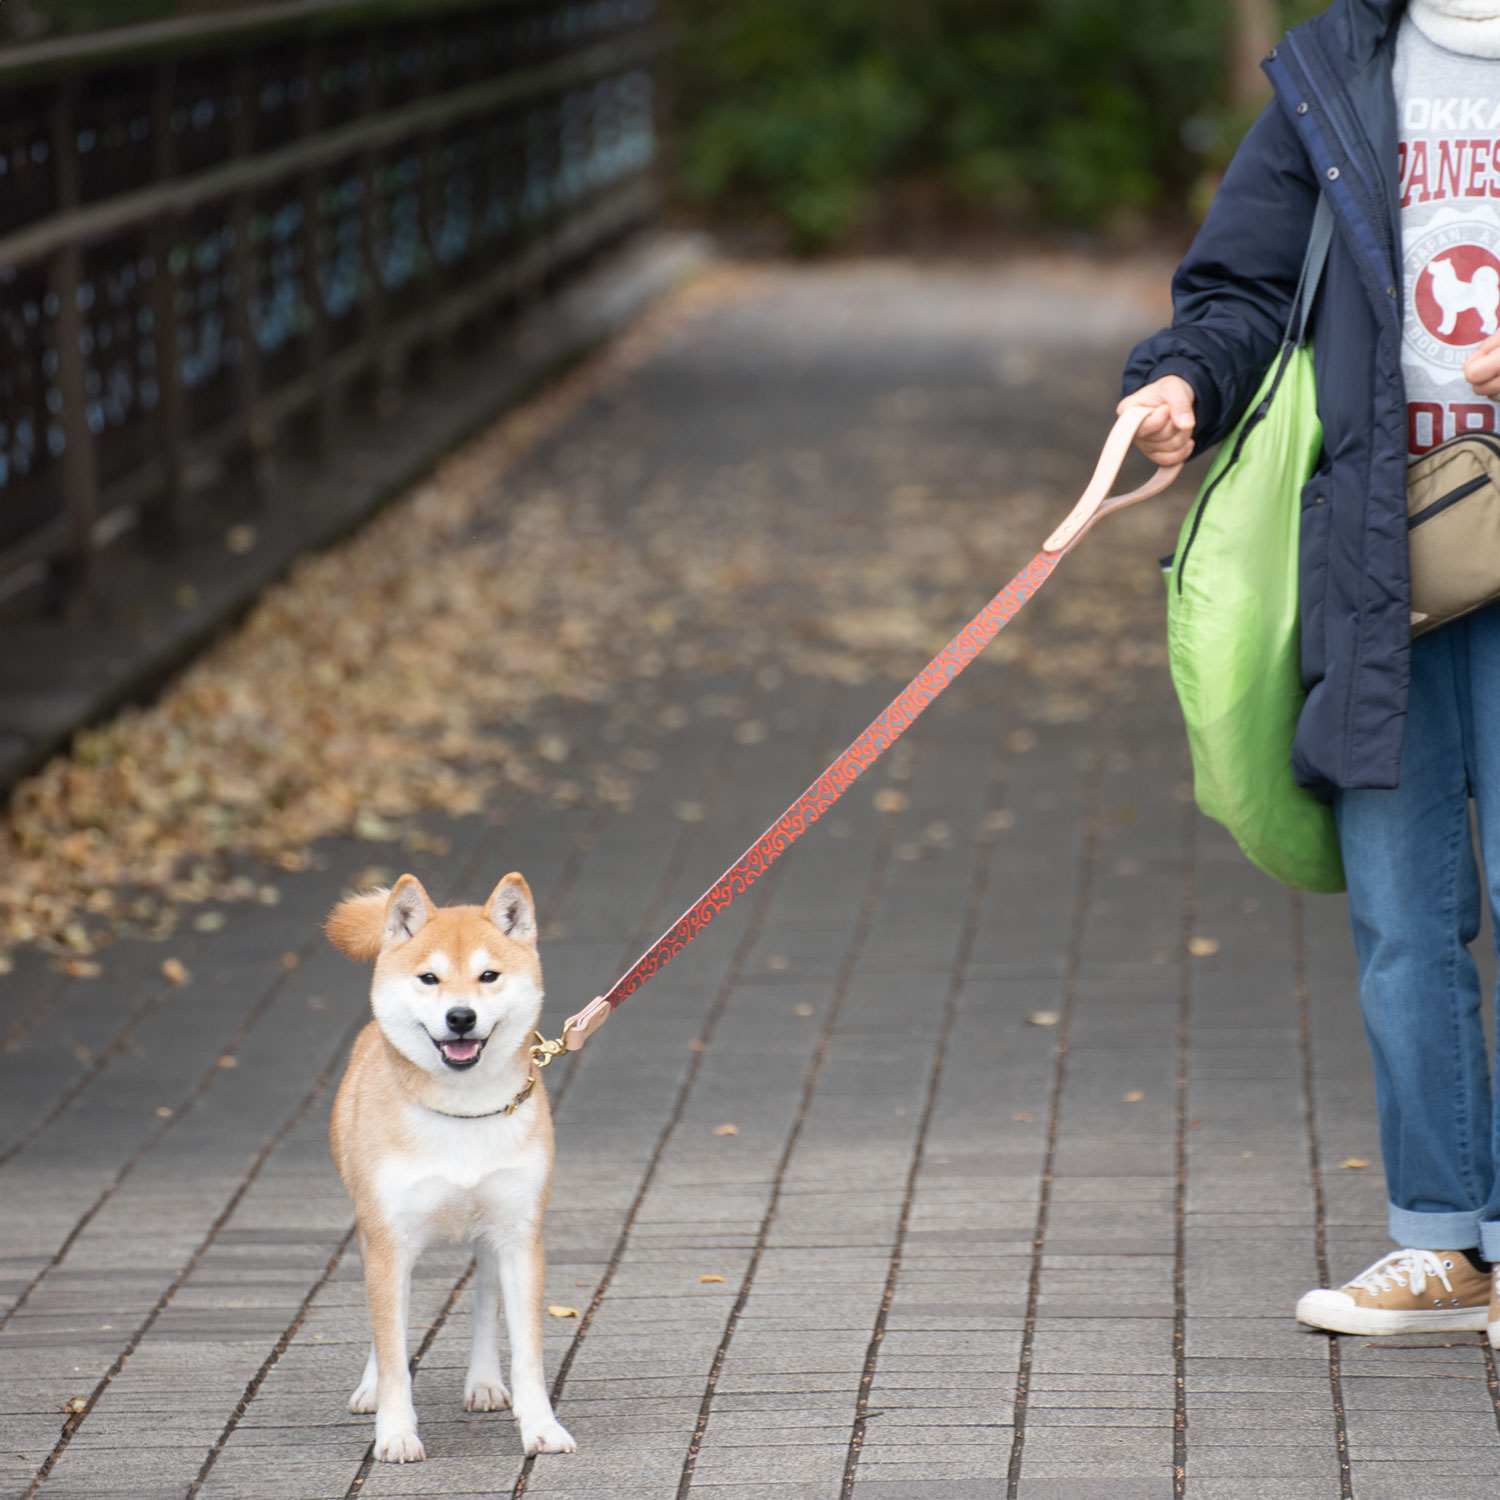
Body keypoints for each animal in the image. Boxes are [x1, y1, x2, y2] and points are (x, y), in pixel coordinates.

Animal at [325, 876, 576, 1458]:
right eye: (429, 978)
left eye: (488, 975)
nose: (460, 1017)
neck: (462, 1113)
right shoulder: (389, 1243)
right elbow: (393, 1348)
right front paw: (396, 1432)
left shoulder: (520, 1236)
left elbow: (527, 1351)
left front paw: (541, 1427)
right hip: (371, 1232)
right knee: (386, 1327)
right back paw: (371, 1388)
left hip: (488, 1238)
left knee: (484, 1306)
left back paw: (483, 1383)